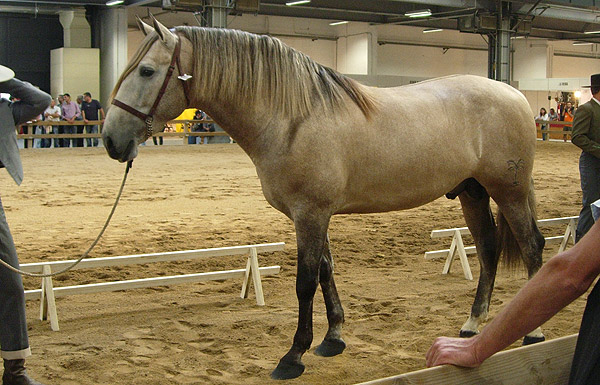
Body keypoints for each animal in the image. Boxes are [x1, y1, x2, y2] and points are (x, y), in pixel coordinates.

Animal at [102, 16, 544, 380]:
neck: (292, 119)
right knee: (487, 250)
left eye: (147, 70)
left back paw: (534, 333)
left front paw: (293, 356)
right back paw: (472, 325)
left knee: (531, 247)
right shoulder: (315, 214)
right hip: (473, 193)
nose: (110, 140)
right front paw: (333, 339)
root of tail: (514, 94)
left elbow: (304, 282)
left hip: (509, 193)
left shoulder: (310, 213)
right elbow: (327, 272)